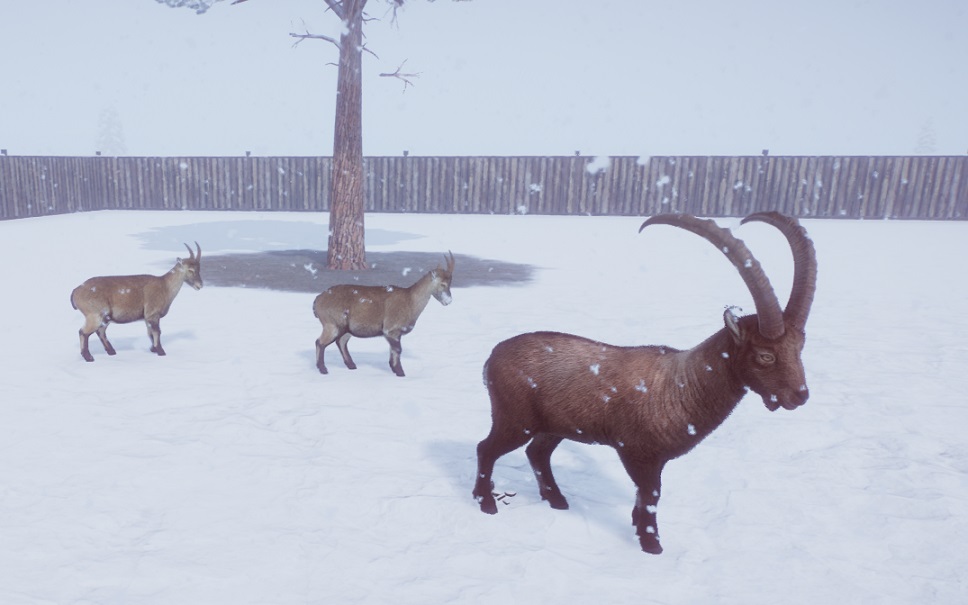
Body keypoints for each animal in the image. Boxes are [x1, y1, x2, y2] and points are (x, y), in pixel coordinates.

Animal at [71, 242, 203, 364]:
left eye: (199, 268)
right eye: (190, 270)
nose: (200, 285)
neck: (165, 286)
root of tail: (75, 291)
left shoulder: (147, 317)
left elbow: (150, 332)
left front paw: (153, 349)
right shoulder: (153, 313)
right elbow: (157, 331)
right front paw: (161, 351)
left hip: (105, 318)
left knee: (100, 331)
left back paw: (111, 351)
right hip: (94, 315)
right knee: (83, 332)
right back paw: (89, 357)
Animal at [314, 251, 458, 376]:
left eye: (450, 282)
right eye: (443, 284)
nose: (449, 301)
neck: (410, 301)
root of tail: (317, 301)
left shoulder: (394, 333)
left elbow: (393, 350)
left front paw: (394, 369)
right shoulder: (391, 328)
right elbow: (398, 350)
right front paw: (400, 372)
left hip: (346, 328)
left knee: (341, 341)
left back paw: (351, 365)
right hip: (332, 323)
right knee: (320, 342)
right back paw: (323, 369)